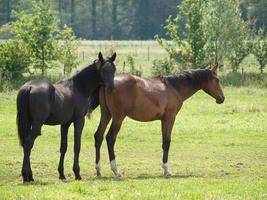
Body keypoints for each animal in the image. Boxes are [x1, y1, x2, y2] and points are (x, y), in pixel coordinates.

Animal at [16, 52, 116, 182]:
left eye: (114, 69)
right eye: (103, 70)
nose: (111, 88)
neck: (79, 87)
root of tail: (30, 87)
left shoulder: (65, 124)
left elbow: (63, 147)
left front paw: (61, 174)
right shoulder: (79, 121)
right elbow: (77, 145)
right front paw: (77, 173)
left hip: (28, 123)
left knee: (25, 144)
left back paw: (29, 176)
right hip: (37, 124)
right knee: (28, 144)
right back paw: (27, 176)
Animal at [91, 64, 225, 177]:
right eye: (217, 80)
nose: (222, 98)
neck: (174, 87)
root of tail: (107, 83)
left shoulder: (163, 120)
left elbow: (163, 142)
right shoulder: (170, 118)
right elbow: (167, 142)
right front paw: (167, 170)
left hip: (106, 115)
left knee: (98, 136)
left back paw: (98, 170)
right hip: (118, 118)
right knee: (110, 138)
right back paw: (116, 171)